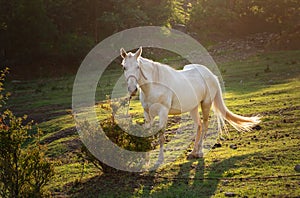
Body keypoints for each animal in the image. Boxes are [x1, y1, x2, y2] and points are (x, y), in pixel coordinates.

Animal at [119, 46, 260, 164]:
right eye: (124, 67)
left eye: (137, 67)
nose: (132, 90)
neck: (154, 85)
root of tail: (211, 75)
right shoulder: (147, 113)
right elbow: (147, 136)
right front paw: (145, 162)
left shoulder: (163, 112)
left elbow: (161, 136)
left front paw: (159, 160)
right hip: (193, 108)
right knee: (199, 126)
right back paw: (193, 152)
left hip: (206, 104)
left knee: (205, 126)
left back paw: (200, 152)